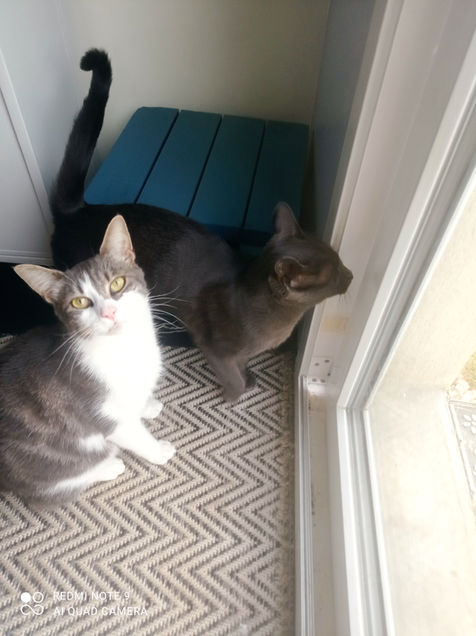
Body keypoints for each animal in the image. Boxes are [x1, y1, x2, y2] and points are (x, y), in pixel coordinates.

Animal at [0, 215, 175, 504]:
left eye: (117, 284)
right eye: (79, 302)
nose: (109, 312)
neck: (124, 347)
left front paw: (146, 405)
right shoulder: (103, 412)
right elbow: (135, 435)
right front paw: (158, 450)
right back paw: (109, 466)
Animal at [50, 49, 353, 402]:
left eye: (340, 261)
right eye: (333, 273)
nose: (351, 275)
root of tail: (80, 209)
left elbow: (243, 365)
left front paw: (249, 377)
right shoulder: (215, 349)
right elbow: (231, 373)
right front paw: (235, 395)